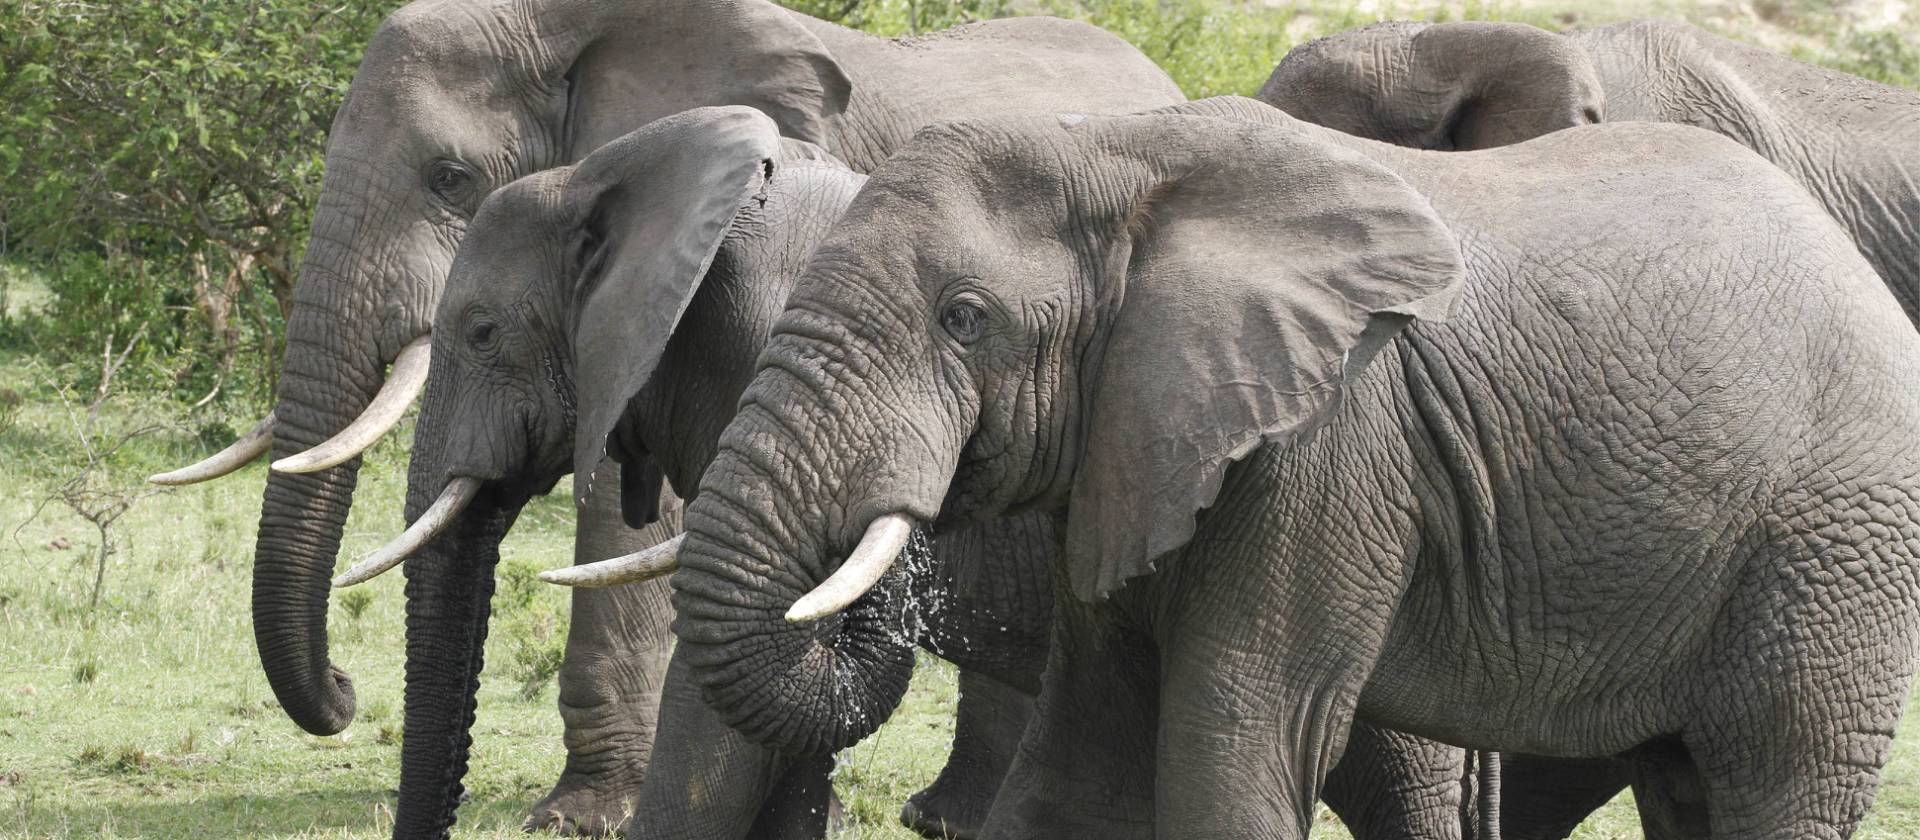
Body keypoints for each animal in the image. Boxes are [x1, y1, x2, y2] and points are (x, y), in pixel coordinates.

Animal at [599, 95, 1920, 838]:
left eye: (964, 320)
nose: (879, 591)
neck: (1123, 157)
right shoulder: (1138, 442)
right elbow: (1078, 774)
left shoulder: (1327, 449)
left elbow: (1232, 754)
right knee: (1683, 783)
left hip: (1838, 550)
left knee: (1776, 781)